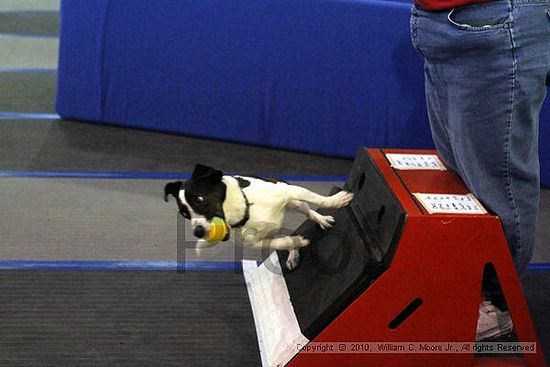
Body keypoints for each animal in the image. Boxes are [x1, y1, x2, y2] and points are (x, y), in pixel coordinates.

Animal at [165, 165, 354, 272]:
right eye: (185, 214)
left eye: (199, 199)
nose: (198, 232)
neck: (247, 210)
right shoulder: (254, 242)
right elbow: (279, 243)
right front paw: (297, 242)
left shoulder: (289, 191)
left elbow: (319, 200)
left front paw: (337, 200)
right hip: (274, 228)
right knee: (285, 236)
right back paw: (293, 252)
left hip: (293, 202)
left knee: (308, 211)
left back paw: (322, 219)